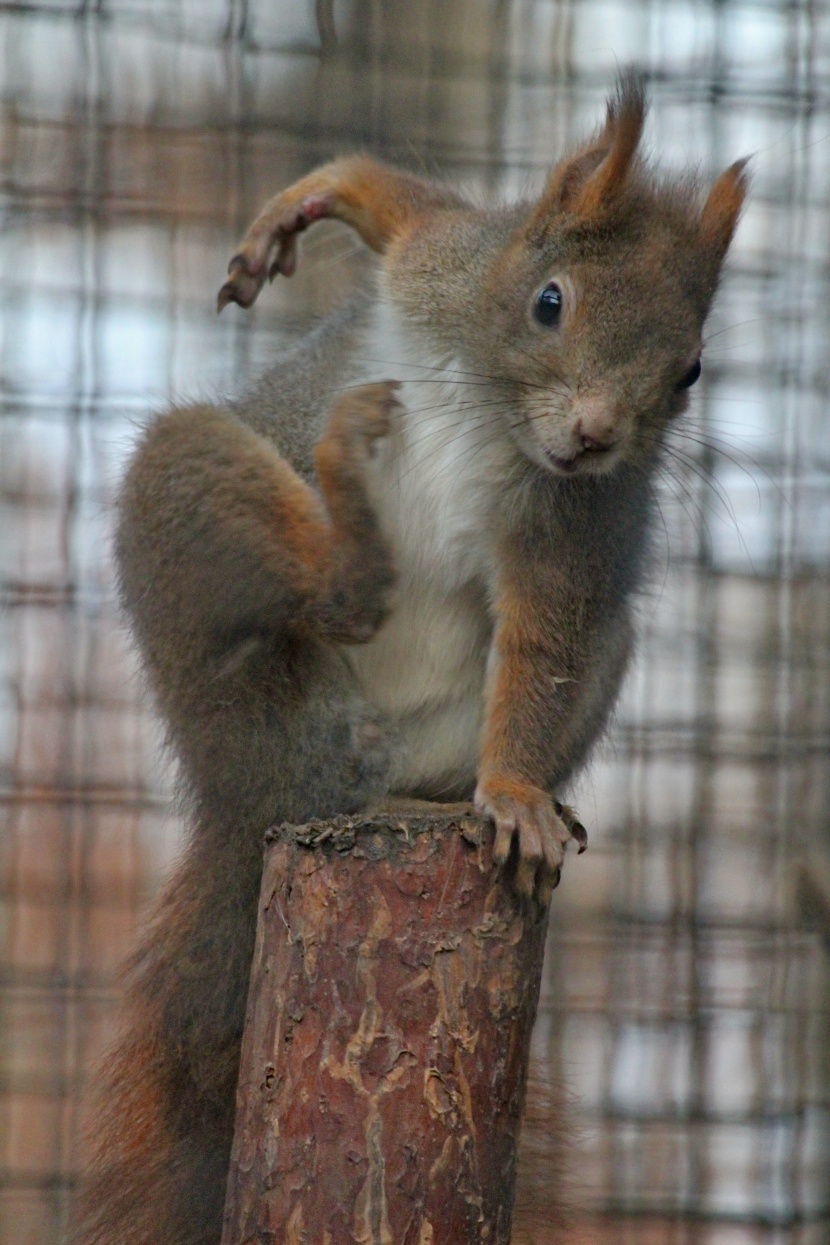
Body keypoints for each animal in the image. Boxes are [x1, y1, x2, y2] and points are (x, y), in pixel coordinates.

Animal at [76, 77, 746, 1245]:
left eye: (689, 371)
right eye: (548, 302)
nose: (593, 435)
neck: (495, 414)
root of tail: (257, 801)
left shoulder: (569, 541)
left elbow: (544, 650)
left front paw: (516, 796)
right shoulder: (440, 264)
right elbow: (402, 207)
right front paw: (299, 207)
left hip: (527, 686)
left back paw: (453, 796)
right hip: (210, 577)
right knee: (284, 566)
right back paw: (341, 510)